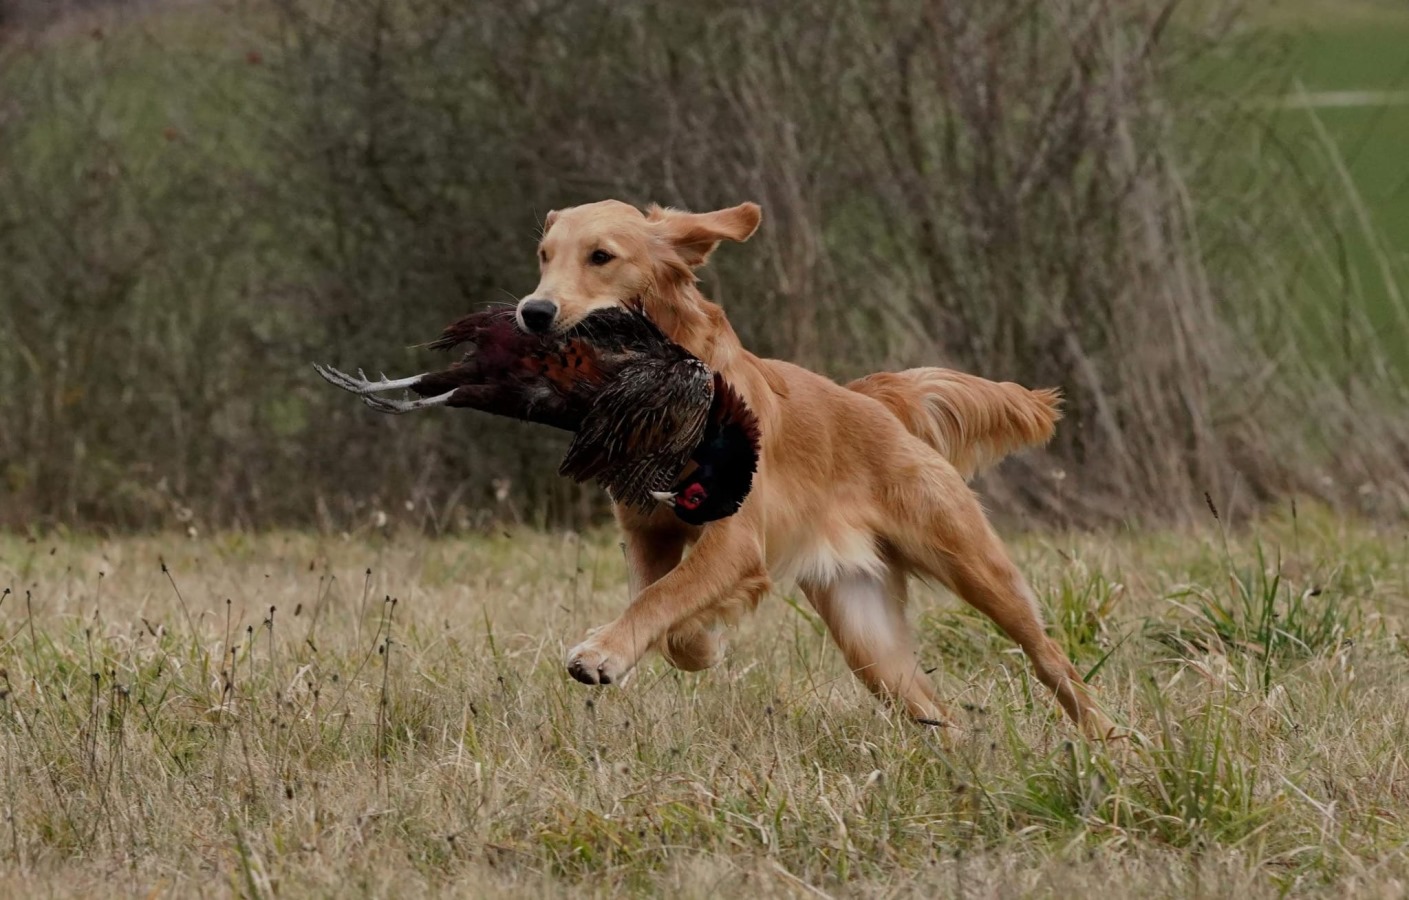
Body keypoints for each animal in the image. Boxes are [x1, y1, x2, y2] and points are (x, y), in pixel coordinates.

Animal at [518, 202, 1110, 738]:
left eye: (601, 257)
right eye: (544, 255)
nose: (534, 311)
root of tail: (873, 401)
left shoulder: (736, 543)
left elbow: (663, 595)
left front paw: (607, 650)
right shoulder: (647, 531)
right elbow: (656, 601)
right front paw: (696, 642)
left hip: (973, 564)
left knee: (1050, 657)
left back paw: (1110, 743)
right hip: (865, 631)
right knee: (930, 707)